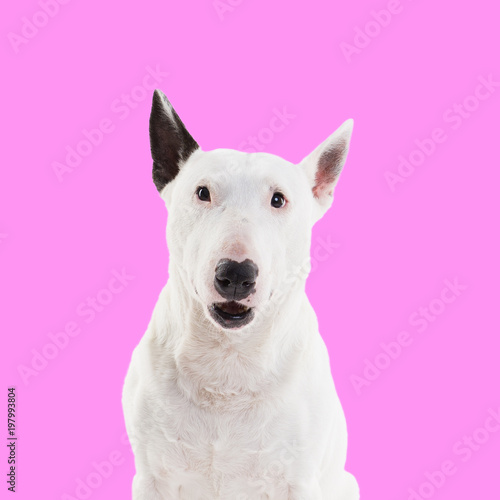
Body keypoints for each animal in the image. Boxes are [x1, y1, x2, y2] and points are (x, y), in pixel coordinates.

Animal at [124, 91, 360, 500]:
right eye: (202, 192)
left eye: (279, 199)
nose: (236, 275)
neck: (228, 362)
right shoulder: (152, 479)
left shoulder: (299, 481)